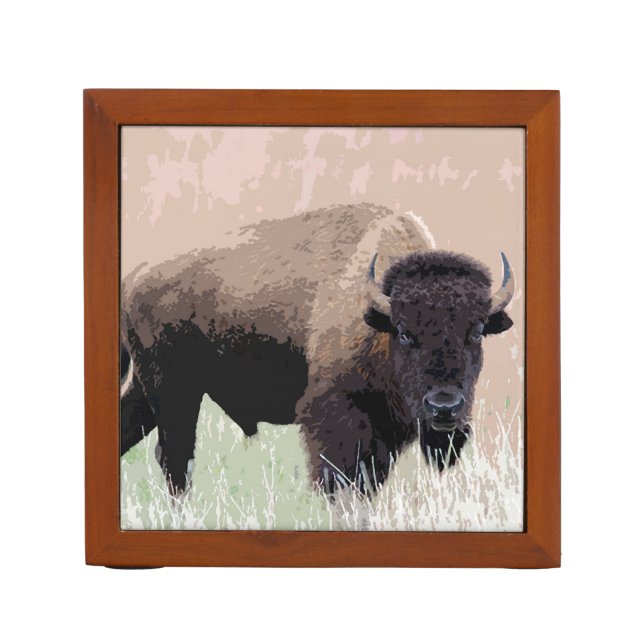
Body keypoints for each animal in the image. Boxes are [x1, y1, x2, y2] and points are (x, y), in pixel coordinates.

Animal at [120, 203, 514, 495]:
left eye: (477, 331)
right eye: (404, 333)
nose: (444, 407)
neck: (377, 314)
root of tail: (135, 276)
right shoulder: (337, 420)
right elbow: (339, 479)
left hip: (149, 389)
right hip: (174, 392)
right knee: (175, 459)